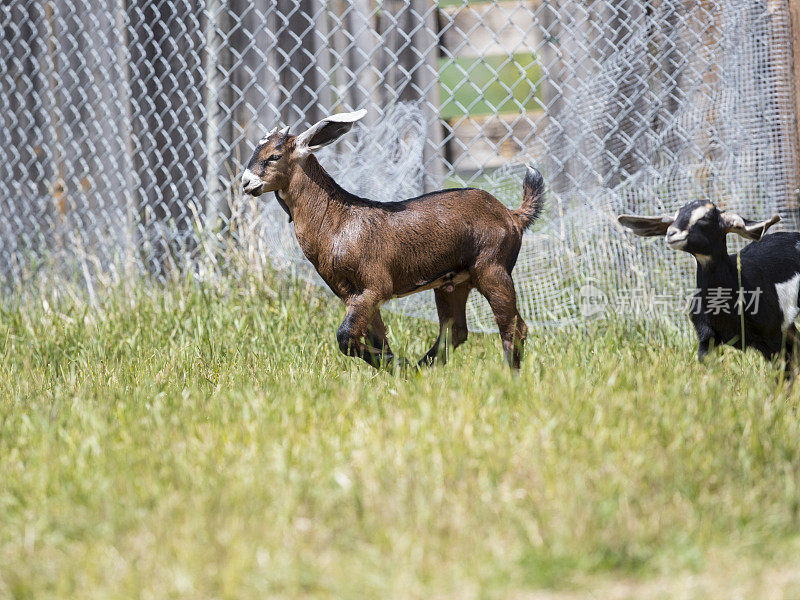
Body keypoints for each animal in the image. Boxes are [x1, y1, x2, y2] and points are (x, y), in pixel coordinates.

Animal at [242, 110, 544, 368]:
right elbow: (374, 339)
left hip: (492, 267)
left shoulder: (375, 286)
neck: (338, 222)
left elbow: (345, 337)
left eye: (274, 155)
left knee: (513, 326)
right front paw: (397, 368)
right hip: (453, 282)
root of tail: (513, 215)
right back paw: (420, 369)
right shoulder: (353, 294)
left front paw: (397, 365)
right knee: (455, 330)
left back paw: (510, 376)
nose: (246, 182)